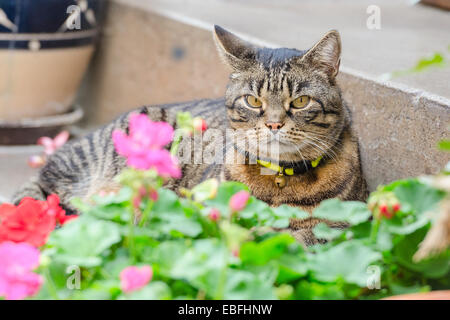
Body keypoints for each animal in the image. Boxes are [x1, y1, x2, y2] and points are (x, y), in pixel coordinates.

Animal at [13, 25, 370, 245]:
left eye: (300, 101)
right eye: (253, 101)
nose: (273, 125)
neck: (278, 182)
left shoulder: (339, 229)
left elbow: (296, 239)